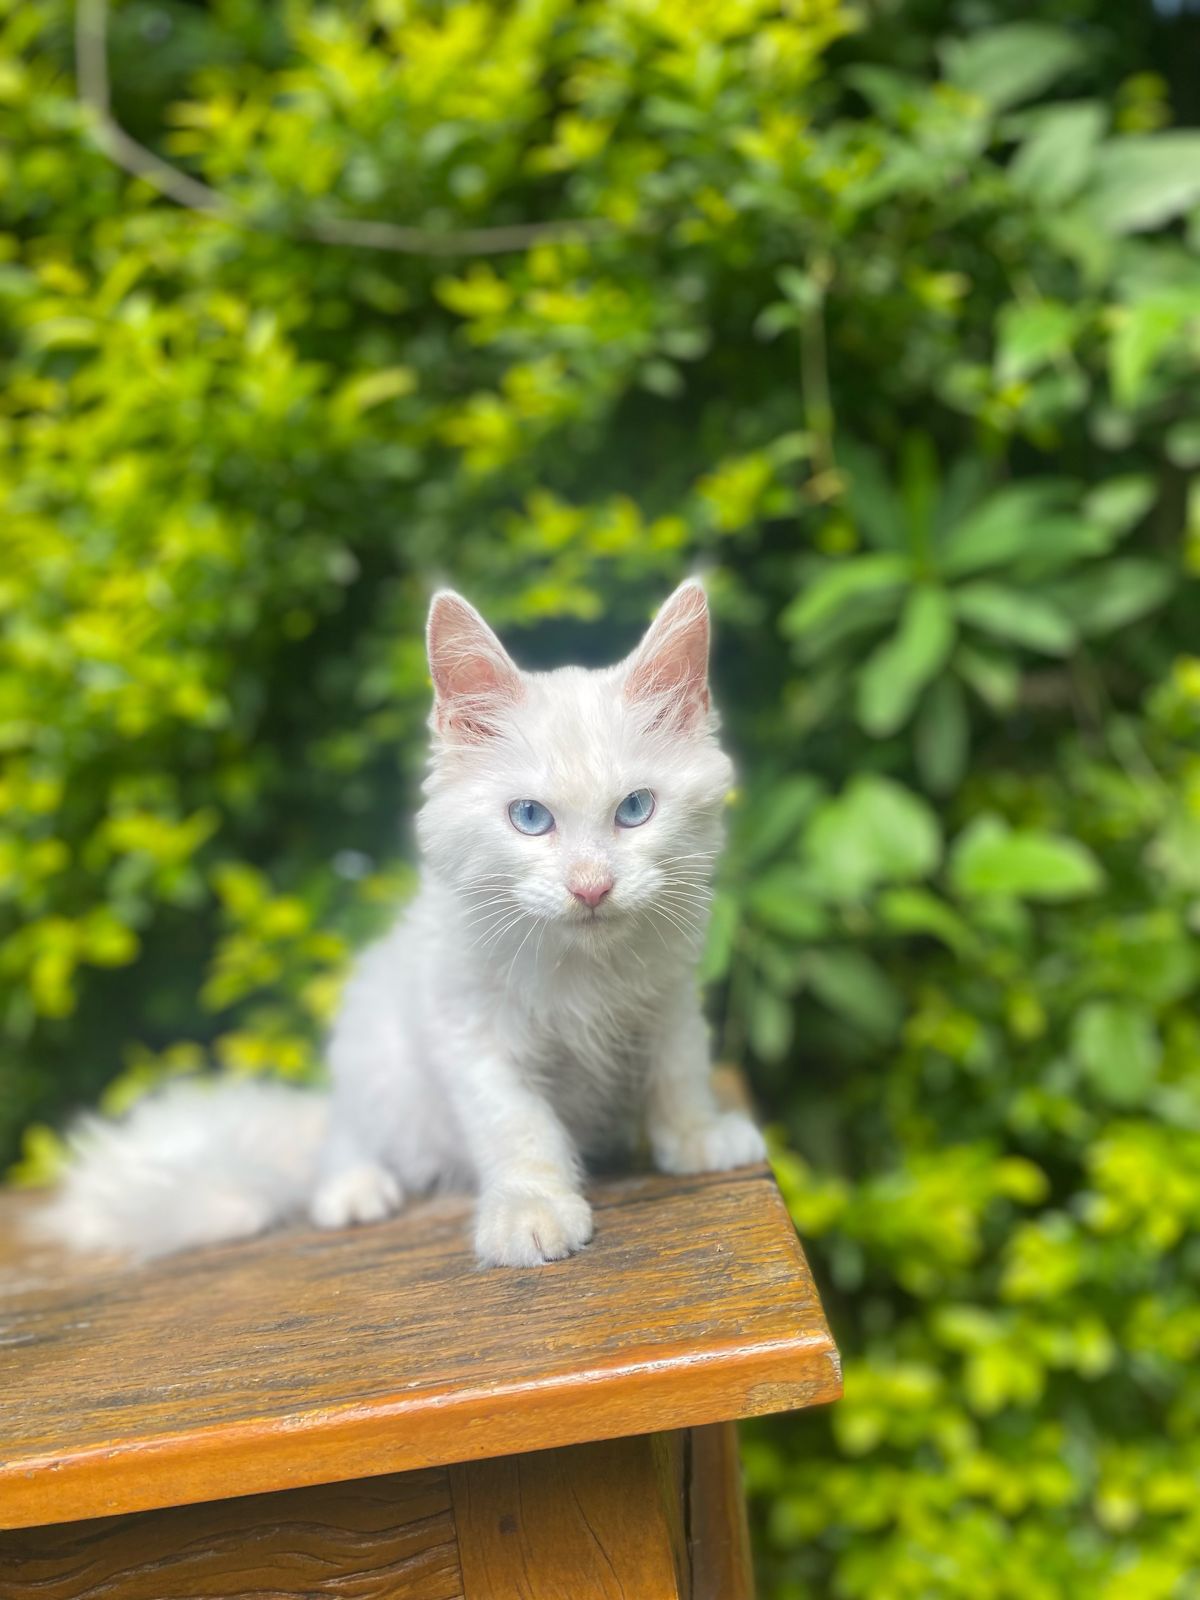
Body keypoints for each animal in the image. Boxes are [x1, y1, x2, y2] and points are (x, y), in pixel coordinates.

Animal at [44, 582, 771, 1267]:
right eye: (530, 818)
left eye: (636, 810)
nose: (590, 887)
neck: (583, 967)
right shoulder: (472, 1035)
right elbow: (519, 1126)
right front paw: (530, 1210)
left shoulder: (670, 1001)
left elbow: (679, 1072)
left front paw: (699, 1137)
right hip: (373, 1061)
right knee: (343, 1140)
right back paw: (353, 1191)